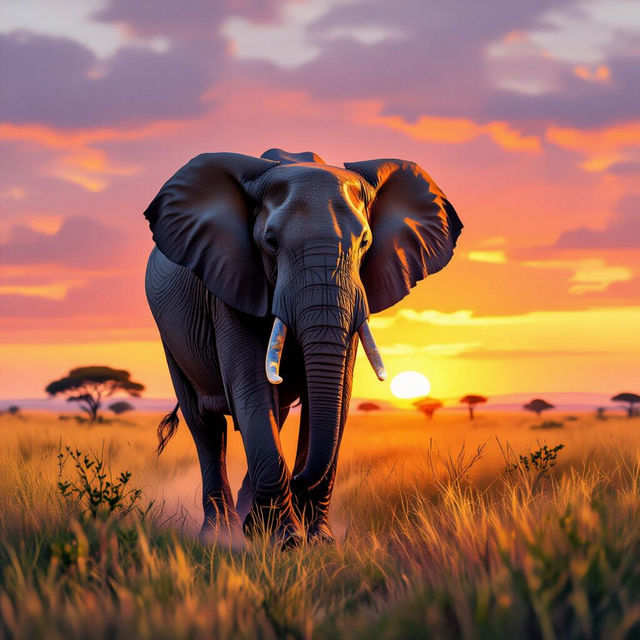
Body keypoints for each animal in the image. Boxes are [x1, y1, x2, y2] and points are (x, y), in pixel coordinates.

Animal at [143, 148, 462, 547]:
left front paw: (316, 540)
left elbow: (335, 396)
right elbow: (251, 387)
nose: (297, 480)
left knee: (274, 415)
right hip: (169, 335)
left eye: (365, 244)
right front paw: (285, 540)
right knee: (205, 425)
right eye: (271, 242)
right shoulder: (230, 281)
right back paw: (221, 533)